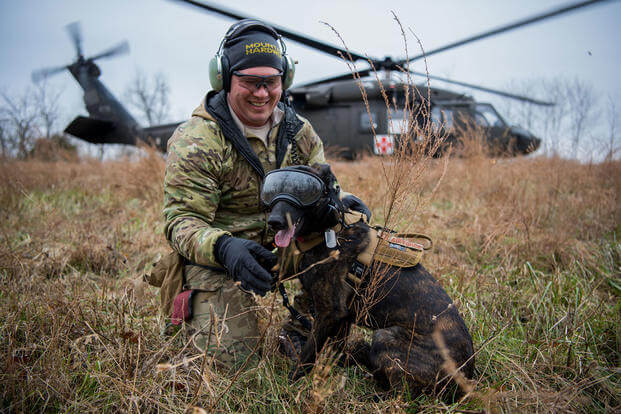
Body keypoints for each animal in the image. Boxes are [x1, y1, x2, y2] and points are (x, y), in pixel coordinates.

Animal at [262, 163, 474, 396]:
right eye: (271, 191)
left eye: (304, 191)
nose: (274, 222)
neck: (329, 231)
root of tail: (466, 379)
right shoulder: (342, 319)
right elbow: (332, 351)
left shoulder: (329, 313)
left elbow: (307, 355)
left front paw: (290, 386)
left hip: (384, 336)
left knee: (400, 392)